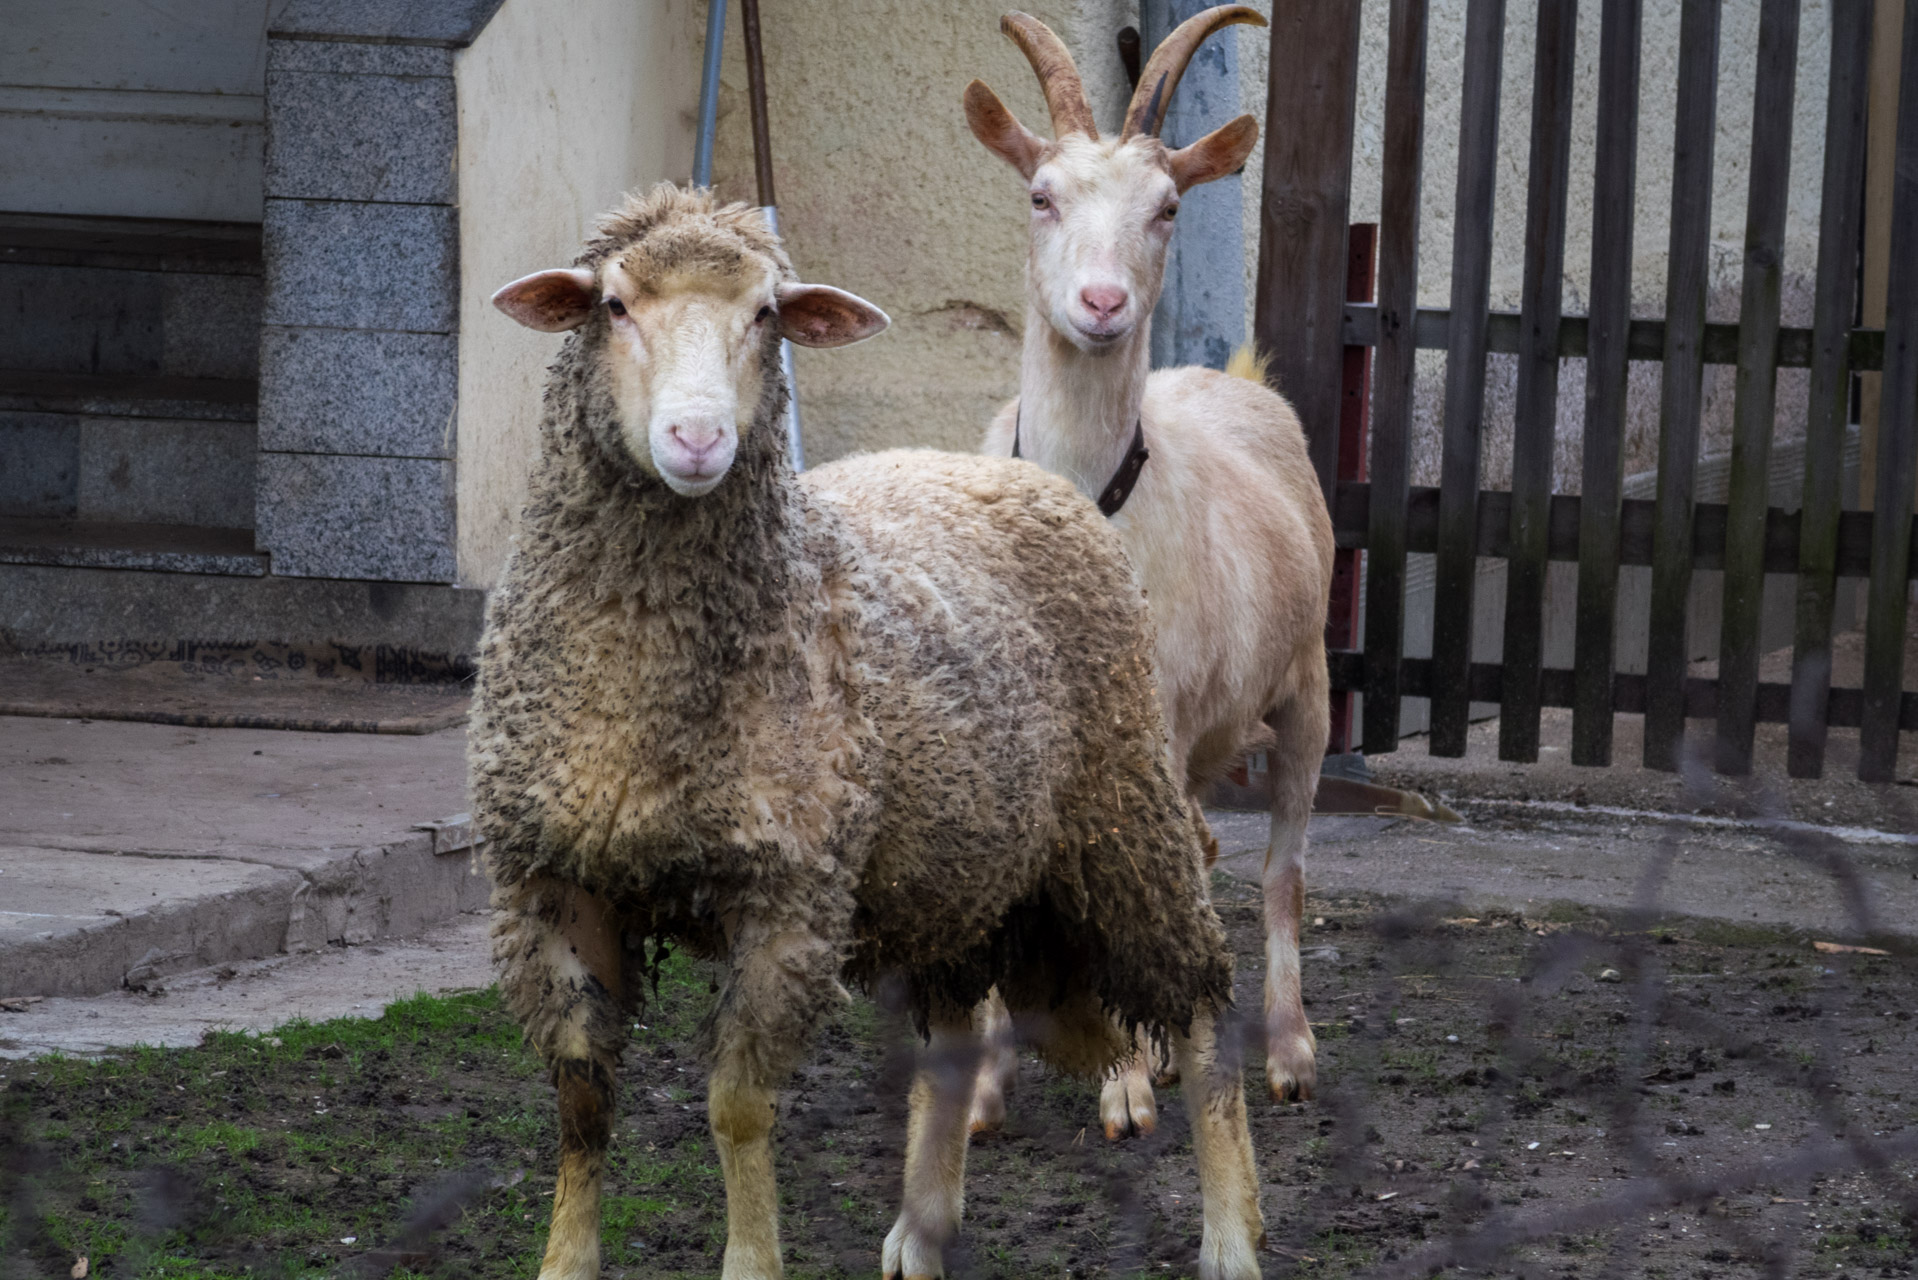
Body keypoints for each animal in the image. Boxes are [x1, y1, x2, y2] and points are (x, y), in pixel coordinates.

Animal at [471, 182, 1265, 1280]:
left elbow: (737, 1108)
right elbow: (582, 1104)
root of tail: (1033, 478)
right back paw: (922, 1233)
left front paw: (752, 1263)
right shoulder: (548, 883)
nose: (696, 441)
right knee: (956, 1043)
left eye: (766, 314)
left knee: (1198, 1006)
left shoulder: (788, 894)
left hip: (1124, 811)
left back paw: (1232, 1231)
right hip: (958, 868)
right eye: (614, 305)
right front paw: (565, 1262)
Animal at [959, 10, 1334, 1143]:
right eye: (1040, 194)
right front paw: (982, 1091)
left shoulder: (1150, 723)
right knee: (1200, 853)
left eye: (1167, 207)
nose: (1102, 302)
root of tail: (1235, 376)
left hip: (1305, 691)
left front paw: (1122, 1088)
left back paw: (1286, 1051)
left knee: (1280, 868)